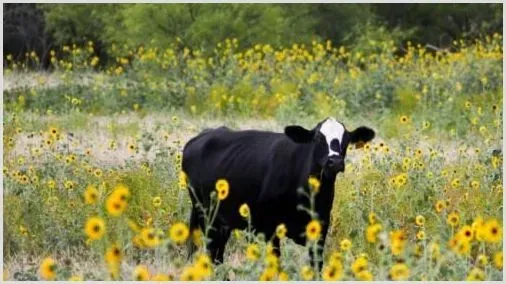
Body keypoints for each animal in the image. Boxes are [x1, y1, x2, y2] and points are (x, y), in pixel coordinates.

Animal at [184, 116, 374, 270]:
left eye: (347, 139)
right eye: (318, 138)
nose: (335, 162)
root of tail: (201, 136)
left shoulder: (320, 228)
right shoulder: (269, 229)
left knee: (216, 254)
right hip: (207, 216)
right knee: (211, 252)